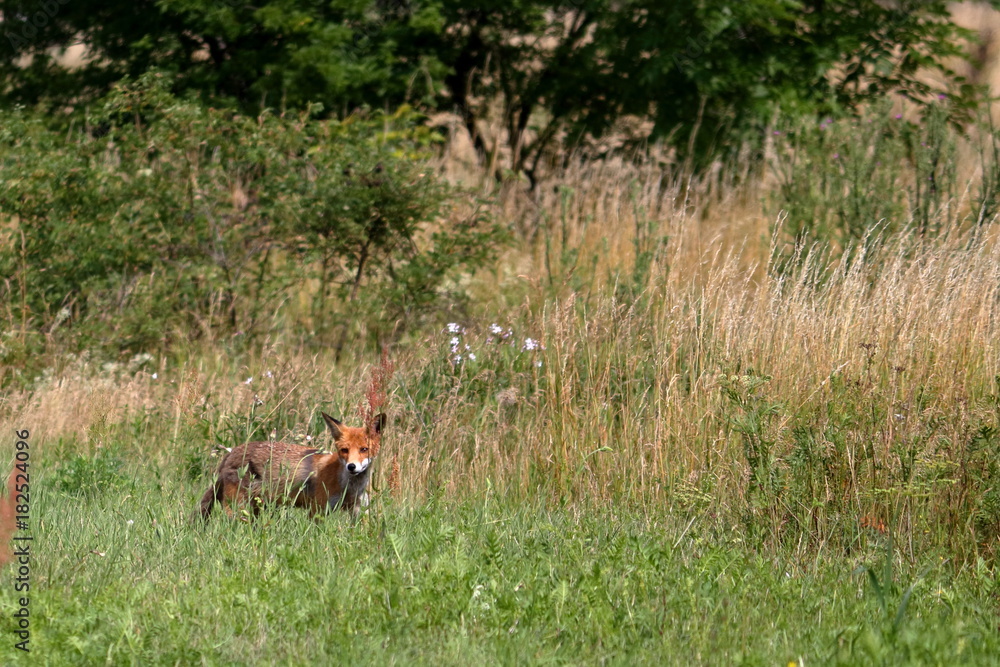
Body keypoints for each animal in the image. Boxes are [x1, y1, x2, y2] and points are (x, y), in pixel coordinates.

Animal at [199, 412, 385, 520]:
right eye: (344, 450)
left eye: (364, 449)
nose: (352, 467)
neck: (349, 487)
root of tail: (232, 451)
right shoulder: (317, 510)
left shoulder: (359, 511)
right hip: (238, 509)